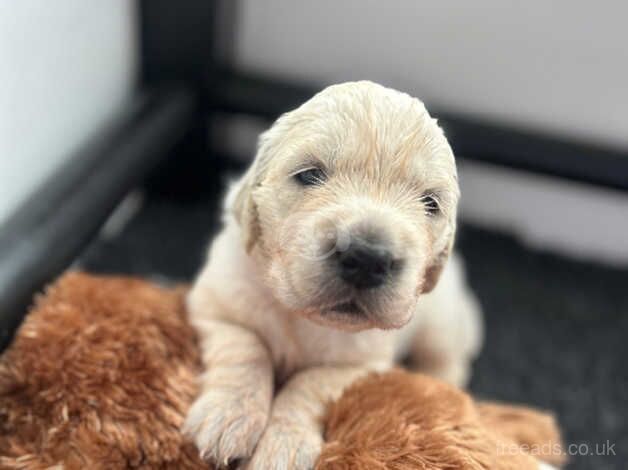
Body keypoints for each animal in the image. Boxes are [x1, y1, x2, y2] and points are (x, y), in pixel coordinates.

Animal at [182, 82, 480, 468]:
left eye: (430, 203)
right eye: (309, 174)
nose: (367, 258)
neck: (302, 316)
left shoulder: (362, 364)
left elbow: (308, 383)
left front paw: (284, 447)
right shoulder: (215, 306)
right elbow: (246, 350)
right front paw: (228, 417)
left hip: (441, 323)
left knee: (448, 359)